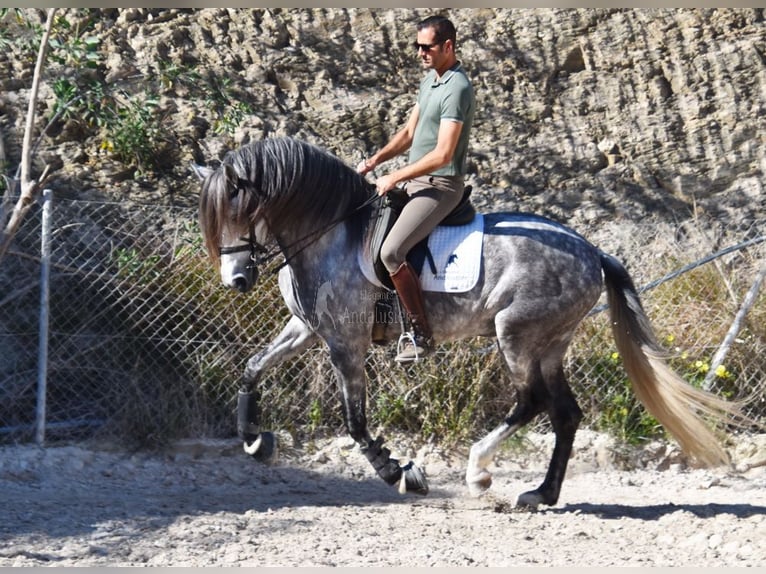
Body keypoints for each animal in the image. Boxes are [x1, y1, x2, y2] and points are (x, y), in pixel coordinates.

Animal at [195, 135, 748, 508]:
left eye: (239, 213)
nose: (236, 279)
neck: (330, 232)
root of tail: (593, 252)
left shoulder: (345, 341)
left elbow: (355, 421)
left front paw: (400, 472)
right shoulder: (308, 329)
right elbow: (252, 367)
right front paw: (254, 440)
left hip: (516, 335)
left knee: (531, 403)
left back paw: (480, 471)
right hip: (550, 342)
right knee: (565, 412)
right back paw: (541, 494)